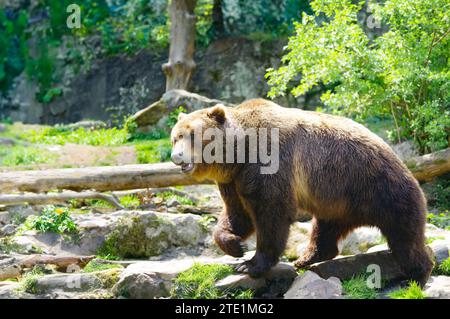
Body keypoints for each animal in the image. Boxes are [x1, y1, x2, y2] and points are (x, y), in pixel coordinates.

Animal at [171, 99, 434, 286]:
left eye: (192, 135)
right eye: (175, 137)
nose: (176, 156)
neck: (238, 154)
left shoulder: (268, 162)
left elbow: (271, 211)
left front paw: (251, 264)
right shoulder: (233, 179)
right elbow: (237, 213)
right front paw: (235, 245)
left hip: (380, 188)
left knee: (405, 236)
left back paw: (416, 276)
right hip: (338, 200)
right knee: (325, 228)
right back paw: (307, 257)